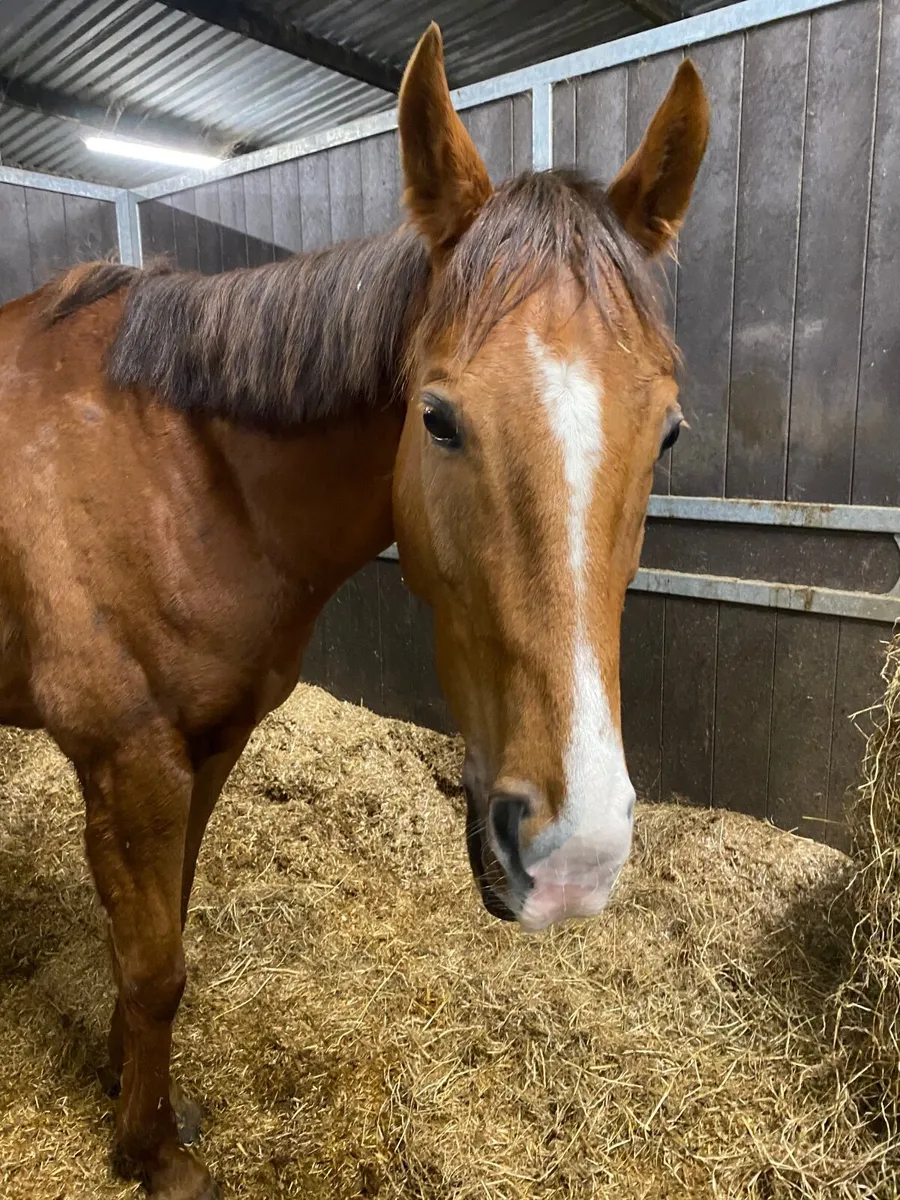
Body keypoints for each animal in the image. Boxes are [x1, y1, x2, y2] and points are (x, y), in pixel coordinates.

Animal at [0, 24, 708, 1199]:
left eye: (668, 432)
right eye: (438, 418)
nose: (577, 856)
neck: (175, 469)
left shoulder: (208, 744)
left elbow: (159, 933)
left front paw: (127, 1087)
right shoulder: (128, 754)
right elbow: (152, 965)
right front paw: (153, 1153)